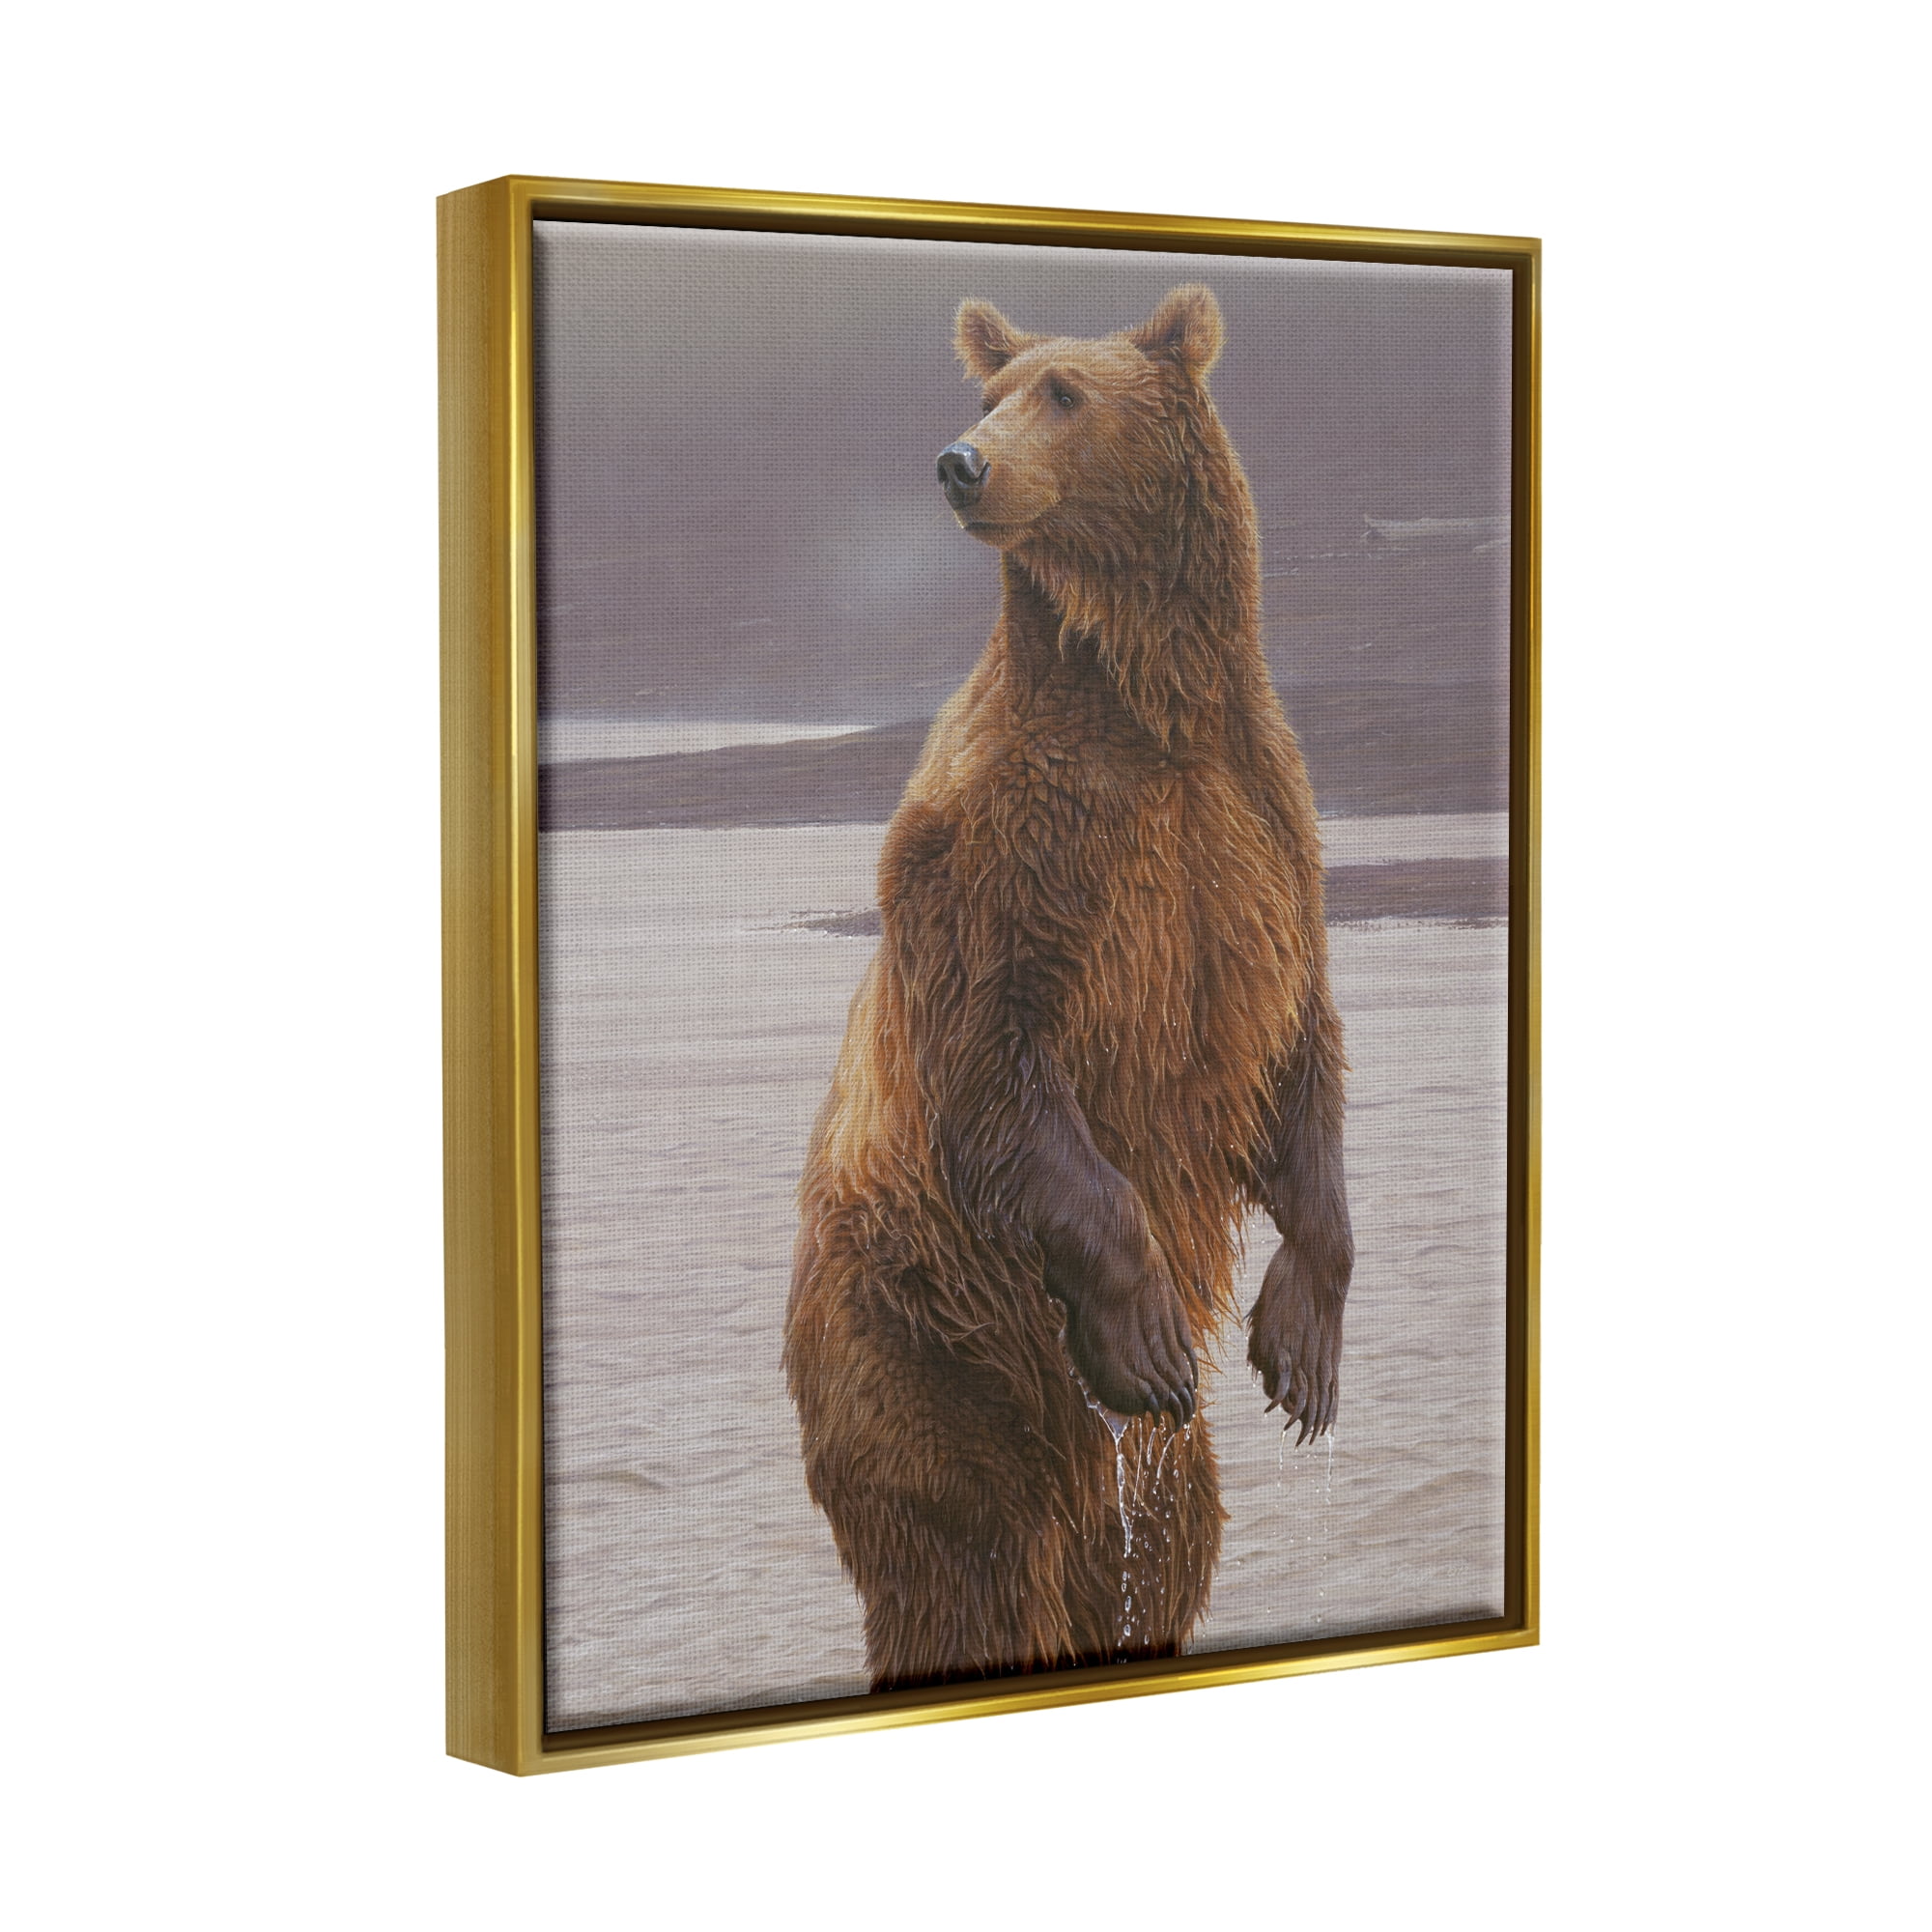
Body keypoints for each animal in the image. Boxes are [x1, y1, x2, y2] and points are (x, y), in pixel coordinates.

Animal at [783, 284, 1353, 1691]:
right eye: (994, 393)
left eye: (1063, 393)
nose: (959, 461)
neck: (1143, 699)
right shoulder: (1005, 844)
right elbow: (998, 1059)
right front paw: (1147, 1325)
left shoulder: (1261, 831)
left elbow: (1297, 1048)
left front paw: (1300, 1346)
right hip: (923, 1345)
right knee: (962, 1567)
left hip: (1119, 1458)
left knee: (1168, 1541)